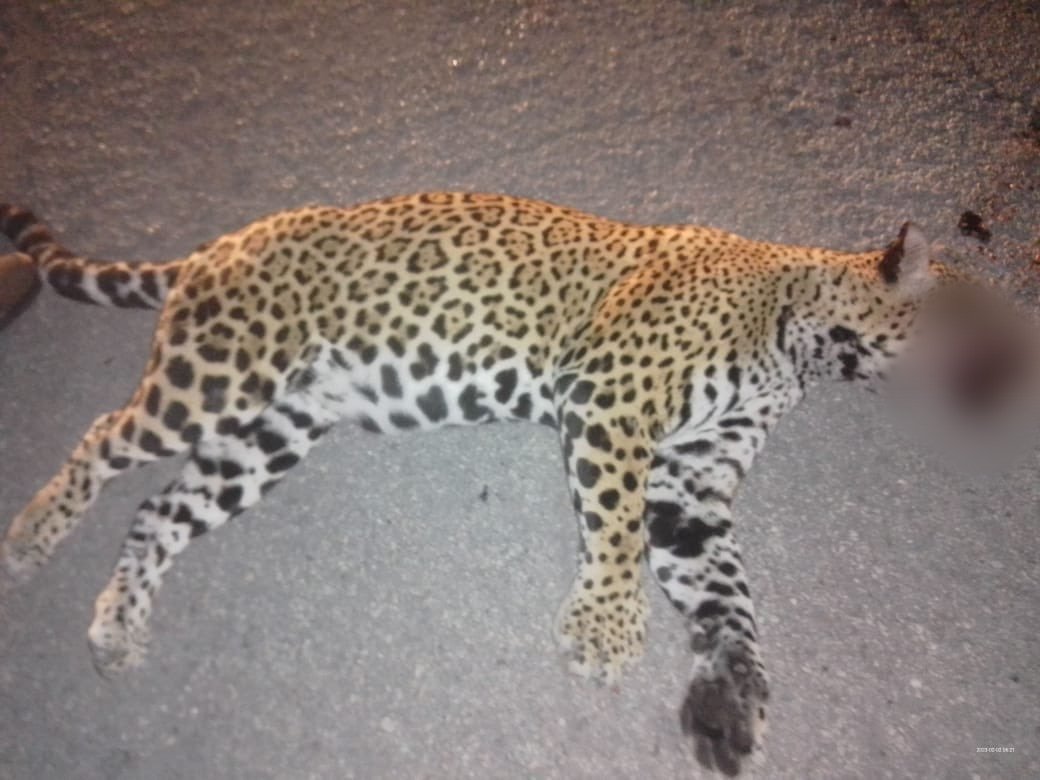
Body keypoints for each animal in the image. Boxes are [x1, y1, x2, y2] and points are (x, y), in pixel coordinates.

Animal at [0, 192, 1005, 775]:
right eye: (977, 322)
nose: (1019, 374)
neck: (796, 343)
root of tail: (216, 245)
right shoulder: (613, 400)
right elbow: (614, 531)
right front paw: (605, 630)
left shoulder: (692, 488)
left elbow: (729, 599)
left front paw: (732, 703)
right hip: (215, 382)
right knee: (104, 436)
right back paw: (32, 535)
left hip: (272, 434)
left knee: (158, 507)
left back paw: (117, 626)